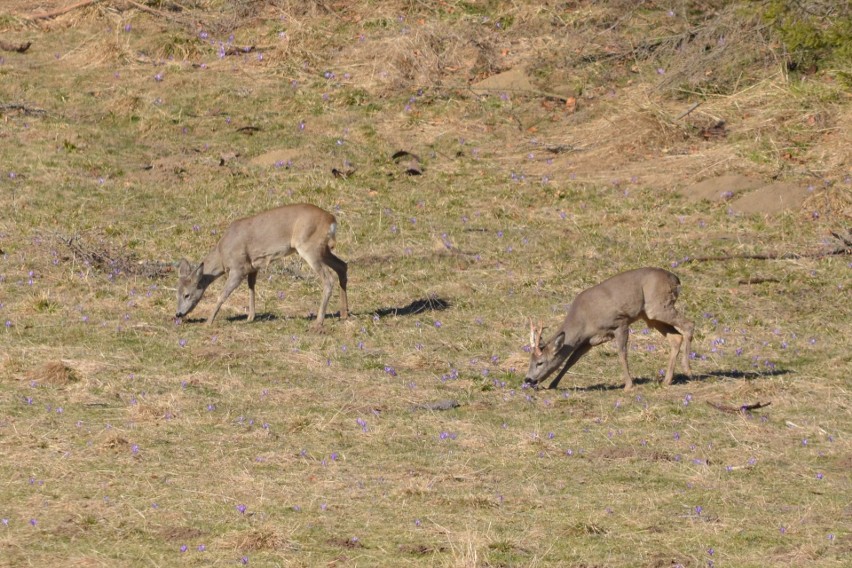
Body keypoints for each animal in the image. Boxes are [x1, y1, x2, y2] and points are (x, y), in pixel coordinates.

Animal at [175, 203, 348, 328]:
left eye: (187, 294)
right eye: (177, 293)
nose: (178, 314)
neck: (222, 255)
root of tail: (331, 219)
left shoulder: (238, 268)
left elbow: (222, 295)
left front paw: (208, 322)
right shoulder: (252, 267)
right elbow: (251, 288)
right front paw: (250, 317)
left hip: (309, 247)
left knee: (328, 279)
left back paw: (319, 321)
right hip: (322, 249)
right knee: (342, 266)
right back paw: (344, 314)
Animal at [524, 266, 692, 390]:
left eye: (540, 362)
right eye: (530, 361)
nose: (528, 380)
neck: (582, 319)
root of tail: (676, 279)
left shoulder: (620, 322)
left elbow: (622, 354)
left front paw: (628, 385)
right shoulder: (589, 340)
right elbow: (572, 360)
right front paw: (553, 384)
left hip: (658, 307)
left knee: (689, 325)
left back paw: (687, 369)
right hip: (650, 316)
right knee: (676, 337)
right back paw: (667, 380)